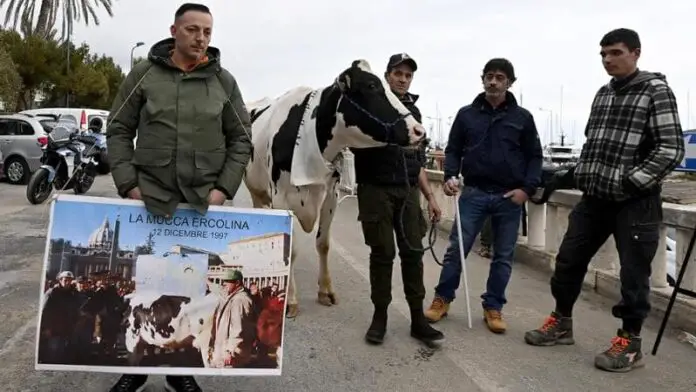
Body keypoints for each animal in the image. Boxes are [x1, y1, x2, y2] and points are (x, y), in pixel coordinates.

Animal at [242, 60, 426, 318]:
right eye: (371, 86)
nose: (419, 131)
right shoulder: (282, 199)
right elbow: (292, 250)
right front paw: (290, 300)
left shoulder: (330, 196)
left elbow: (323, 244)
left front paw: (325, 291)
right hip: (255, 188)